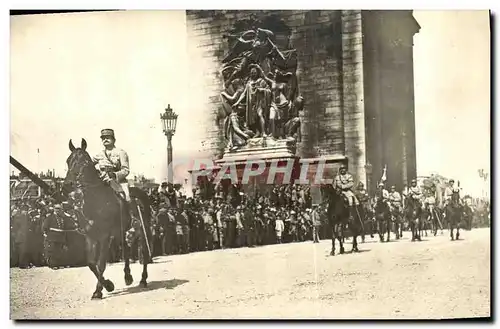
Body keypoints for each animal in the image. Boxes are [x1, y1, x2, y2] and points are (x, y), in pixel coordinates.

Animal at [62, 137, 152, 298]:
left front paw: (100, 290)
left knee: (144, 252)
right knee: (126, 251)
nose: (67, 186)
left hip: (143, 231)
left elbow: (101, 264)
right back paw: (128, 276)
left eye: (85, 162)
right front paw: (107, 285)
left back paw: (143, 280)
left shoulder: (105, 237)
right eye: (68, 160)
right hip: (122, 232)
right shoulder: (90, 236)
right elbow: (91, 263)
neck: (95, 201)